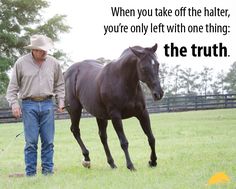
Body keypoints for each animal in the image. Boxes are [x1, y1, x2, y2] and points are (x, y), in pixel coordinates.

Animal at [64, 43, 164, 171]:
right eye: (143, 68)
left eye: (157, 64)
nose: (158, 93)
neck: (123, 81)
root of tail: (67, 72)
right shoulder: (115, 116)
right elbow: (124, 142)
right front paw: (130, 165)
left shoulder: (142, 113)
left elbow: (151, 138)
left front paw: (153, 161)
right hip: (75, 110)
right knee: (75, 130)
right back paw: (86, 159)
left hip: (100, 115)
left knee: (103, 137)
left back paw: (111, 163)